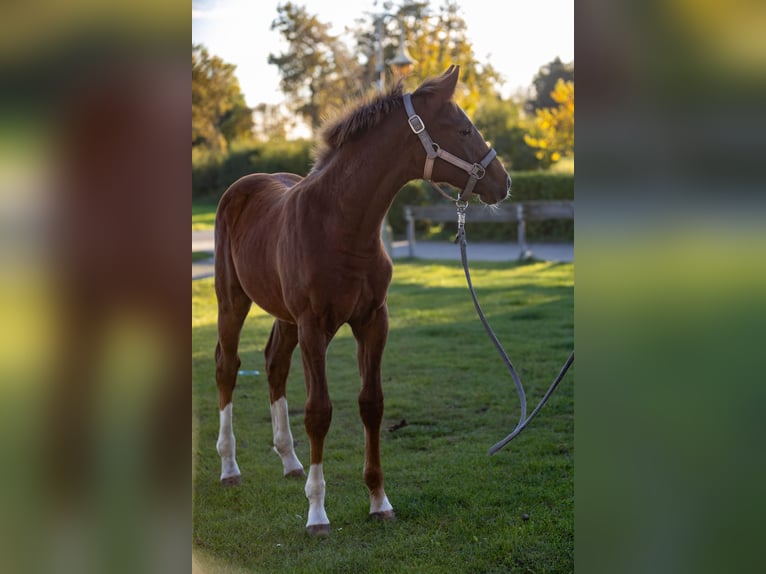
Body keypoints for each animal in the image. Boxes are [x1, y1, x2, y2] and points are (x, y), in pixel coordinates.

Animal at [213, 65, 511, 535]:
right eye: (464, 129)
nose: (504, 182)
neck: (341, 226)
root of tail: (242, 187)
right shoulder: (314, 327)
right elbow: (319, 411)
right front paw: (317, 513)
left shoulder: (373, 320)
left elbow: (371, 405)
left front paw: (378, 500)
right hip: (233, 300)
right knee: (228, 367)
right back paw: (229, 468)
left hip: (285, 317)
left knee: (275, 365)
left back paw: (290, 462)